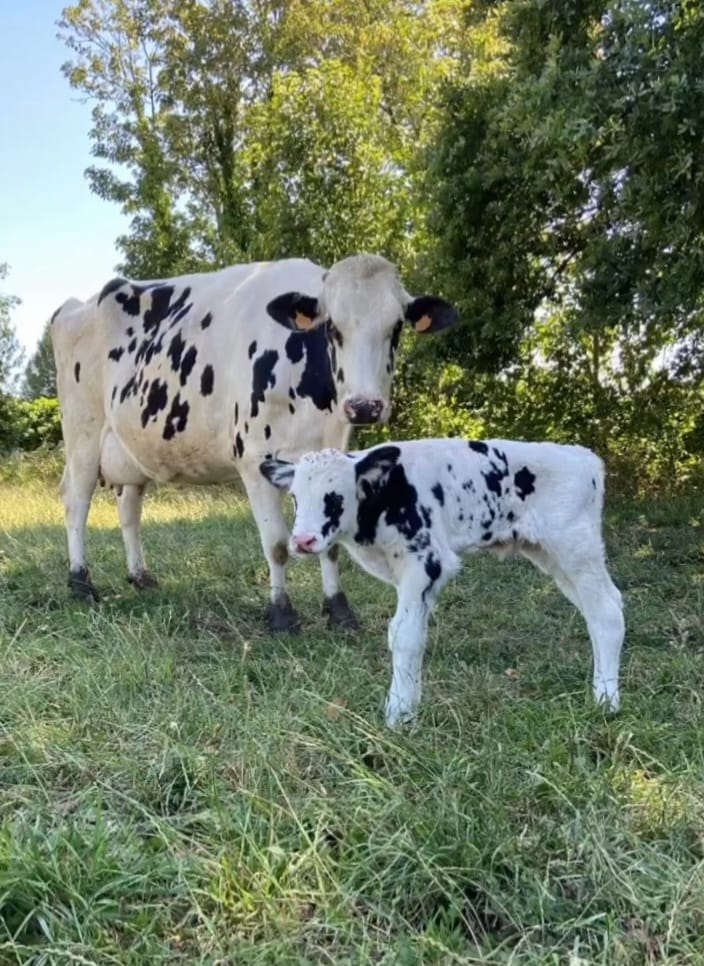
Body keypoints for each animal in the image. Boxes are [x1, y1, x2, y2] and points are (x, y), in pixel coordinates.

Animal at [49, 253, 456, 632]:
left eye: (397, 327)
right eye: (332, 328)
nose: (365, 406)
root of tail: (75, 305)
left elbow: (330, 543)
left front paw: (339, 610)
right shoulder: (254, 460)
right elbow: (276, 544)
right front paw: (281, 613)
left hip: (130, 447)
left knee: (129, 508)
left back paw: (140, 576)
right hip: (83, 430)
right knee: (75, 498)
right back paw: (80, 582)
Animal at [262, 438, 624, 728]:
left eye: (335, 497)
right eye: (295, 497)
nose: (303, 541)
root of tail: (583, 456)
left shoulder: (427, 562)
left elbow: (406, 636)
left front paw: (398, 715)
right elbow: (406, 632)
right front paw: (409, 705)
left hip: (576, 548)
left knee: (607, 614)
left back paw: (606, 700)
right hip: (553, 557)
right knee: (599, 609)